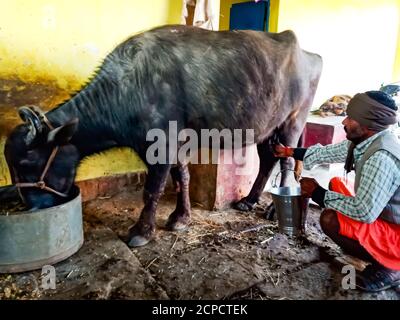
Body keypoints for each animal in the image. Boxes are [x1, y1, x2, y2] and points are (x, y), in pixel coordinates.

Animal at [4, 25, 322, 246]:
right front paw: (181, 218)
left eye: (27, 163)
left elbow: (152, 188)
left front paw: (142, 231)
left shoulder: (160, 144)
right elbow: (181, 177)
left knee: (286, 160)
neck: (129, 89)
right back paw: (249, 200)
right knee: (268, 158)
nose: (32, 206)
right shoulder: (174, 144)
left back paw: (274, 208)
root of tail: (309, 54)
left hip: (293, 120)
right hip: (266, 127)